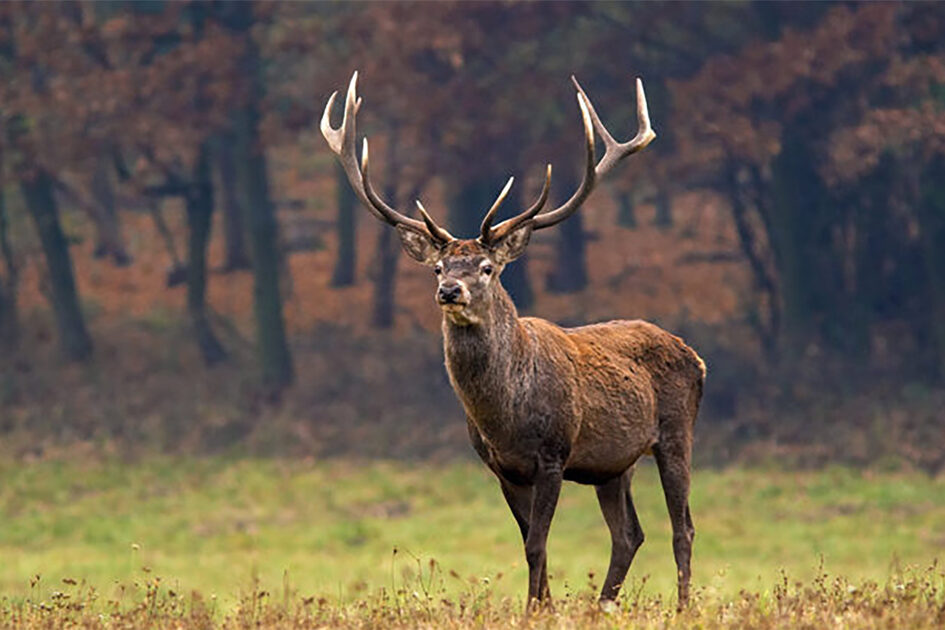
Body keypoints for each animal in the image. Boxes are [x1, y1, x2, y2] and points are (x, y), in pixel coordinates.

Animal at [321, 71, 705, 612]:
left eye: (486, 267)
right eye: (438, 267)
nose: (449, 290)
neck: (505, 417)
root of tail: (695, 355)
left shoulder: (553, 453)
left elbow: (538, 543)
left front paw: (534, 609)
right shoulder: (501, 467)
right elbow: (529, 541)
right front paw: (545, 607)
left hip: (676, 432)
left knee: (682, 527)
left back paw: (683, 605)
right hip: (614, 464)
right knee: (629, 533)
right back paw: (602, 605)